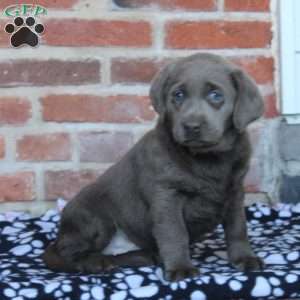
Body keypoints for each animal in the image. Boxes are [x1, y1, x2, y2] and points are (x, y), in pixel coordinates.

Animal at [43, 53, 264, 282]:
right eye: (178, 95)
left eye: (215, 95)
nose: (191, 126)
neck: (208, 157)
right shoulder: (166, 196)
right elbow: (175, 233)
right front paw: (180, 268)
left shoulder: (235, 192)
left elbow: (238, 228)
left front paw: (245, 258)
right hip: (95, 218)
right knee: (67, 253)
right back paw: (95, 262)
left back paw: (144, 256)